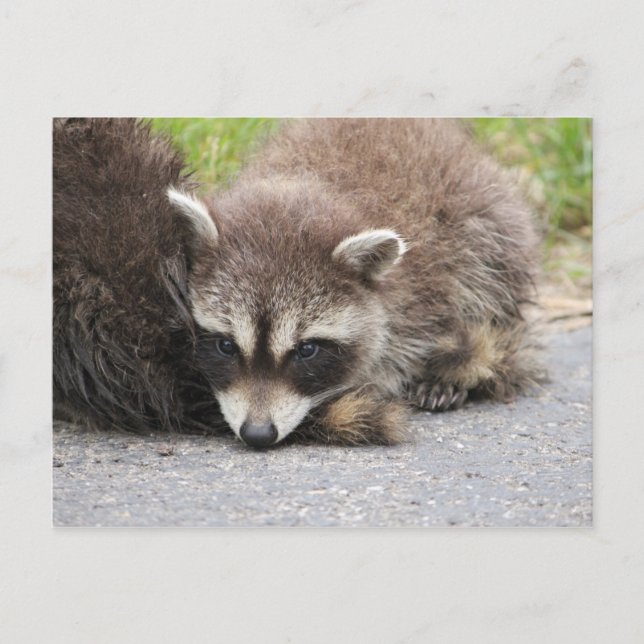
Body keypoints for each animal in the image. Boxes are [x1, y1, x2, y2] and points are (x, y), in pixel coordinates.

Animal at [170, 118, 541, 448]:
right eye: (226, 346)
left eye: (306, 350)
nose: (258, 434)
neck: (303, 185)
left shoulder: (420, 294)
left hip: (486, 222)